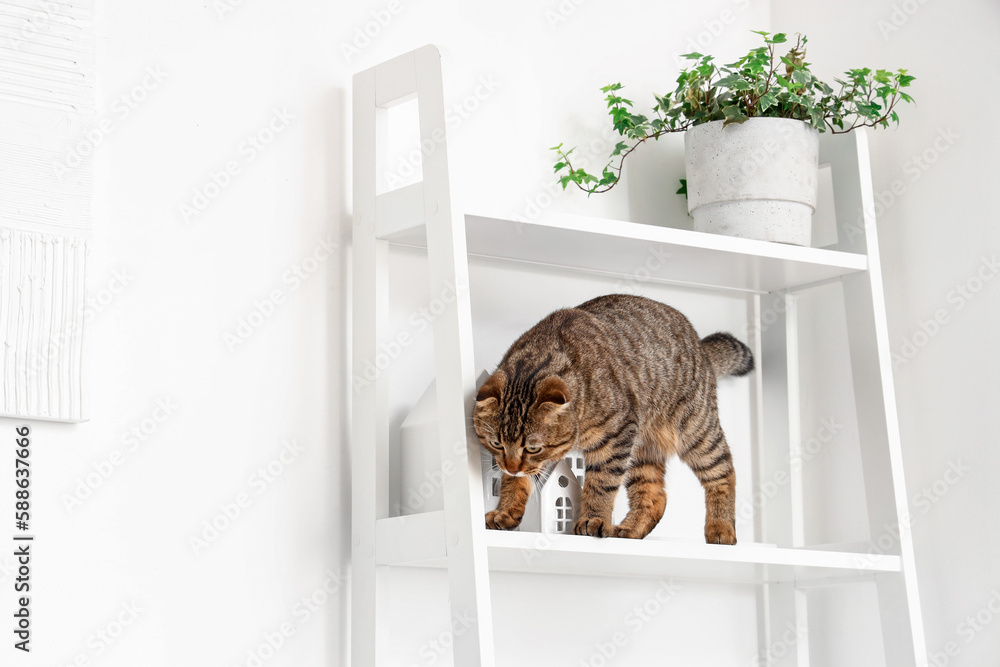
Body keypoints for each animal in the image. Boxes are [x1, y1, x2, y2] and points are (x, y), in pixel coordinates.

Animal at [474, 294, 752, 544]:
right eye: (497, 444)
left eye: (533, 447)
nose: (511, 466)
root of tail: (701, 348)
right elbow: (514, 484)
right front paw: (505, 510)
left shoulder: (615, 436)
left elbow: (601, 483)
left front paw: (593, 518)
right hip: (642, 454)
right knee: (655, 496)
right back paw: (631, 529)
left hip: (696, 432)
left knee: (724, 472)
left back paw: (721, 528)